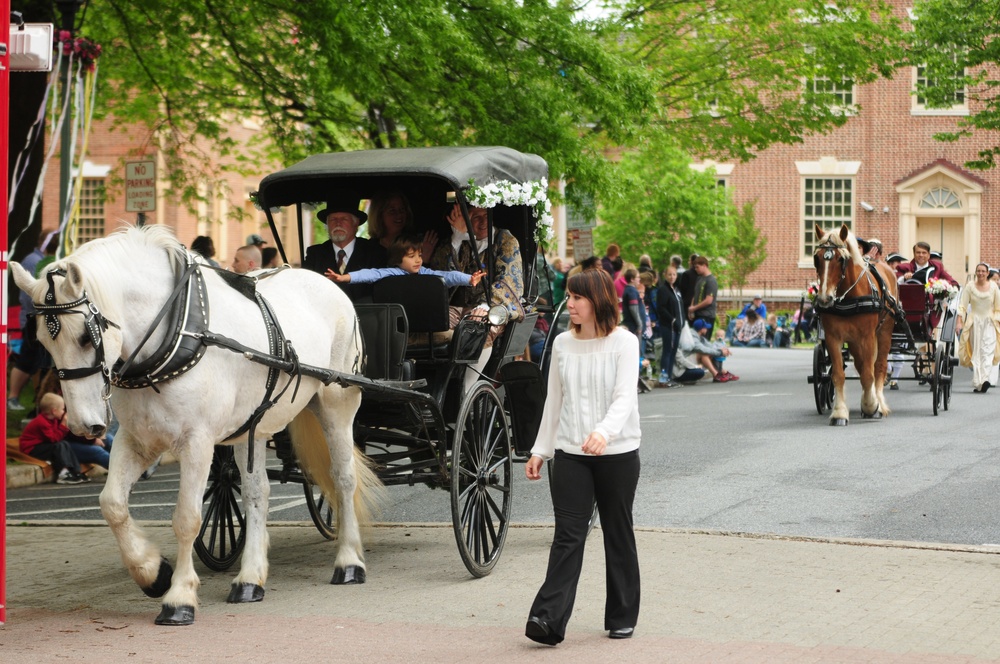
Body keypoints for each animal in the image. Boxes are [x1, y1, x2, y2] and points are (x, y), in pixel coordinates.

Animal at [13, 226, 384, 624]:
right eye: (42, 341)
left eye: (86, 336)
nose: (85, 425)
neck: (178, 334)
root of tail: (327, 282)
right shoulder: (137, 440)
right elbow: (111, 503)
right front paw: (151, 572)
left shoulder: (198, 442)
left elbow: (187, 518)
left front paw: (179, 596)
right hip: (252, 425)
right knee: (257, 493)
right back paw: (250, 579)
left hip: (336, 405)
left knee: (343, 479)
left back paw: (349, 562)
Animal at [812, 224, 900, 426]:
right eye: (817, 258)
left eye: (840, 258)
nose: (824, 299)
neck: (848, 297)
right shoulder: (833, 337)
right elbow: (838, 375)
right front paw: (839, 413)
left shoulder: (867, 337)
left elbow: (869, 374)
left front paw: (871, 406)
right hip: (853, 341)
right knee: (862, 365)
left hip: (884, 333)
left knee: (879, 366)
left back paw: (879, 403)